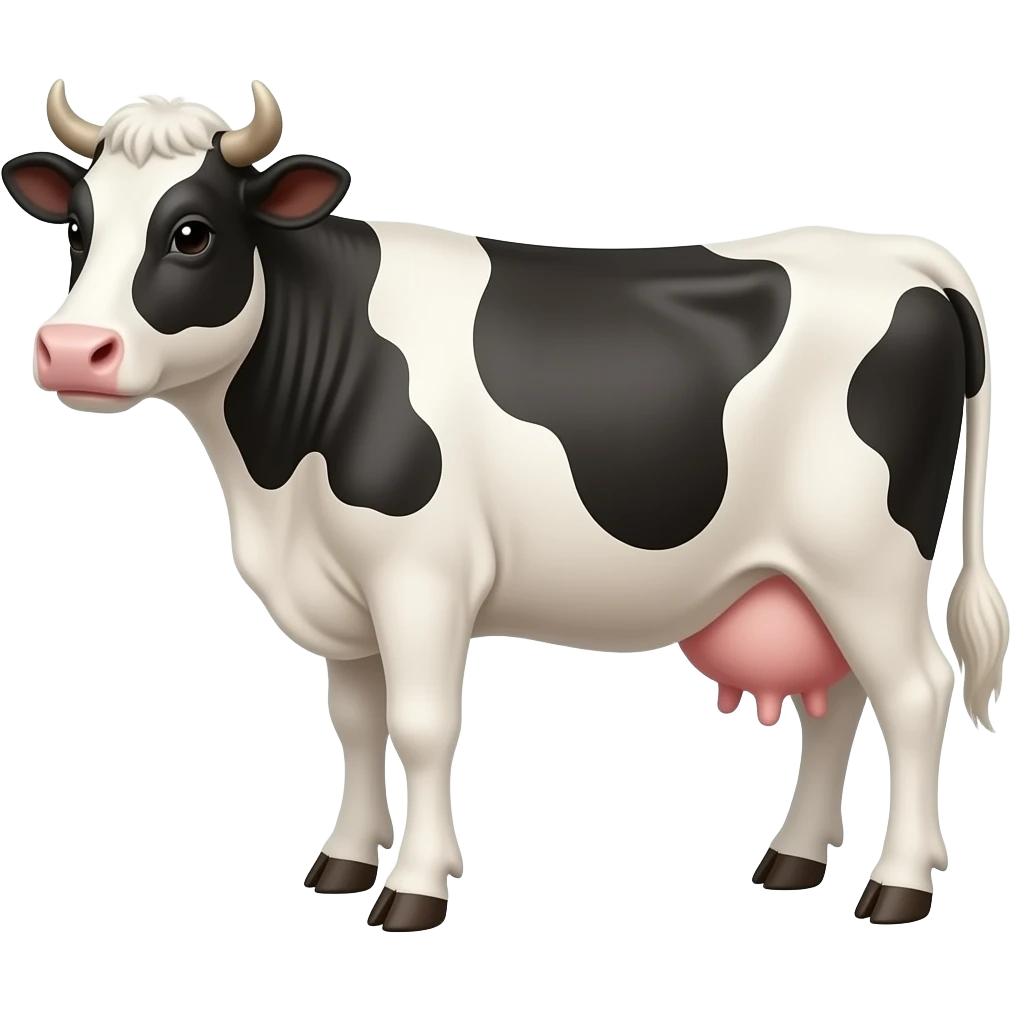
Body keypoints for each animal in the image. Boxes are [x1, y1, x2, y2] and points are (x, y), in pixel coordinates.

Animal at [4, 79, 1006, 932]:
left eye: (192, 233)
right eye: (78, 226)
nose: (71, 348)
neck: (273, 477)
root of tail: (894, 250)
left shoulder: (420, 574)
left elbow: (420, 724)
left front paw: (413, 889)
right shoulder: (344, 587)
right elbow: (356, 721)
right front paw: (343, 864)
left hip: (866, 556)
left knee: (914, 692)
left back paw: (897, 886)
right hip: (808, 571)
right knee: (840, 698)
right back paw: (792, 859)